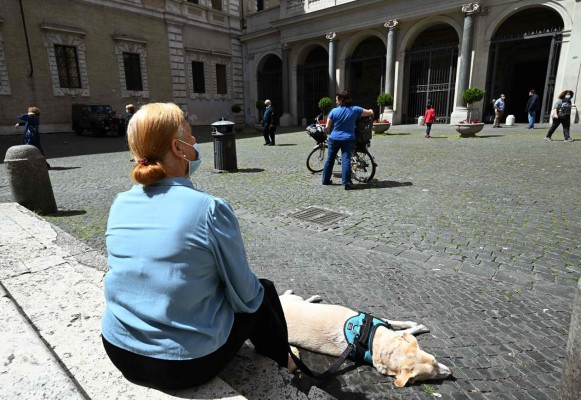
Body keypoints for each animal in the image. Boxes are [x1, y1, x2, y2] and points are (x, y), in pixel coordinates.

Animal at [278, 290, 450, 388]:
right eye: (430, 376)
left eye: (435, 360)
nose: (451, 372)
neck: (374, 340)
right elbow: (407, 330)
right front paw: (419, 327)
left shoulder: (383, 321)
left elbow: (401, 324)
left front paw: (412, 324)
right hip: (294, 300)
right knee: (291, 295)